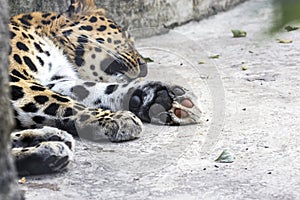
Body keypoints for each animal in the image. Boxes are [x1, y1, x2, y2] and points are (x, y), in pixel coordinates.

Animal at [8, 0, 202, 175]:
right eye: (124, 36)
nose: (145, 67)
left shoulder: (56, 80)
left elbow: (92, 89)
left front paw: (158, 98)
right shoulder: (15, 79)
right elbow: (61, 102)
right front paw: (115, 118)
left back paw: (48, 141)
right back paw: (48, 147)